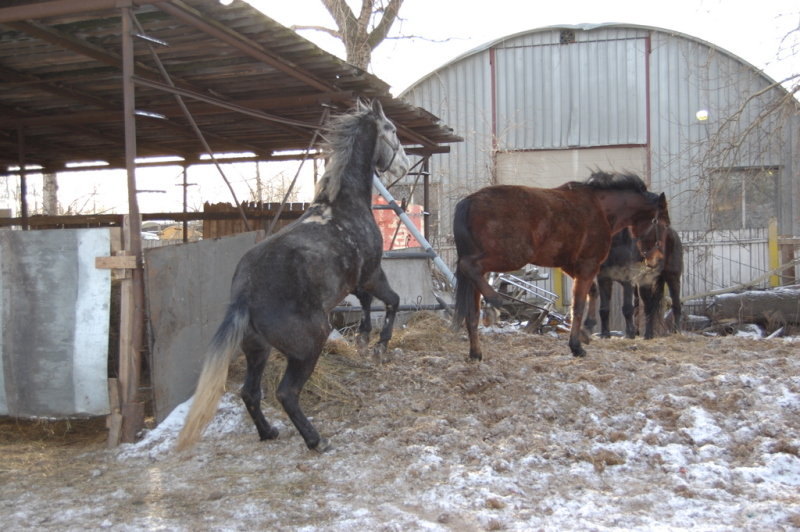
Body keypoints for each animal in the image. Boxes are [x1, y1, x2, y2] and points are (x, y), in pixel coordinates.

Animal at [456, 172, 668, 360]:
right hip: (512, 257)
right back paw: (494, 299)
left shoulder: (573, 266)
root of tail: (470, 201)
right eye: (664, 224)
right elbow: (579, 305)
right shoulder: (588, 265)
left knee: (472, 313)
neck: (600, 208)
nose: (657, 259)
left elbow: (591, 293)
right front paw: (576, 346)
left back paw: (476, 353)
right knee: (468, 265)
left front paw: (586, 330)